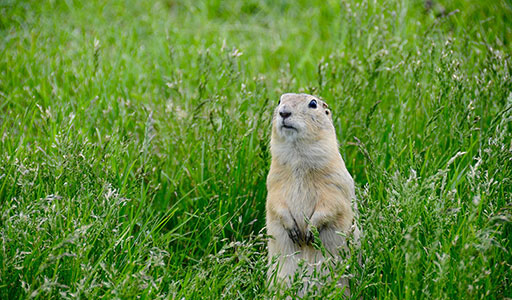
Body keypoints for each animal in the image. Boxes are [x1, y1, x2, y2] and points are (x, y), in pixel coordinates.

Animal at [266, 92, 358, 296]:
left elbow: (331, 204)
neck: (297, 157)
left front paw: (310, 231)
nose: (284, 112)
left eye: (313, 103)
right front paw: (293, 230)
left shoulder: (334, 182)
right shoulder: (273, 181)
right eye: (279, 100)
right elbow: (275, 203)